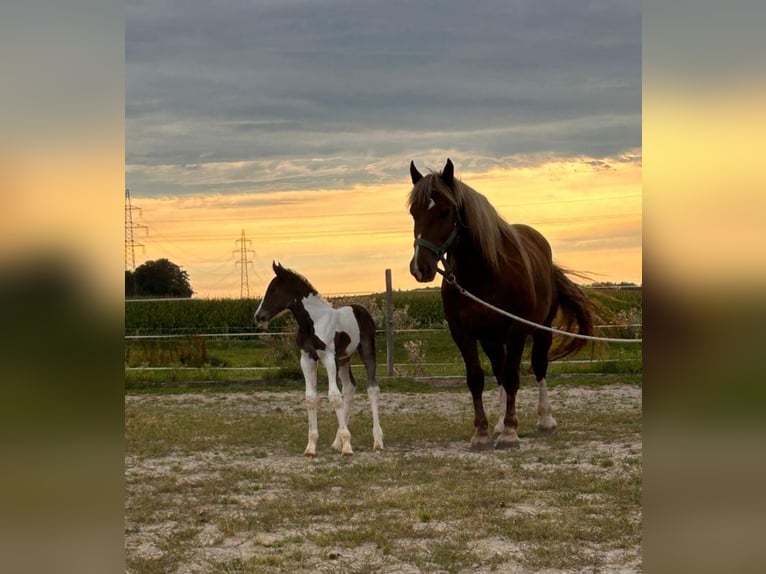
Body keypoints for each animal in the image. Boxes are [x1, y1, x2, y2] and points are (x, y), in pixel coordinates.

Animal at [255, 262, 384, 460]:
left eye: (274, 289)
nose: (258, 317)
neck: (312, 322)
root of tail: (362, 309)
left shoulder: (328, 356)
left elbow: (334, 397)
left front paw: (347, 447)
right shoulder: (307, 358)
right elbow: (310, 398)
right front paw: (311, 447)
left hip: (366, 351)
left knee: (372, 389)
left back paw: (377, 442)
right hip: (344, 359)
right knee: (349, 387)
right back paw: (336, 443)